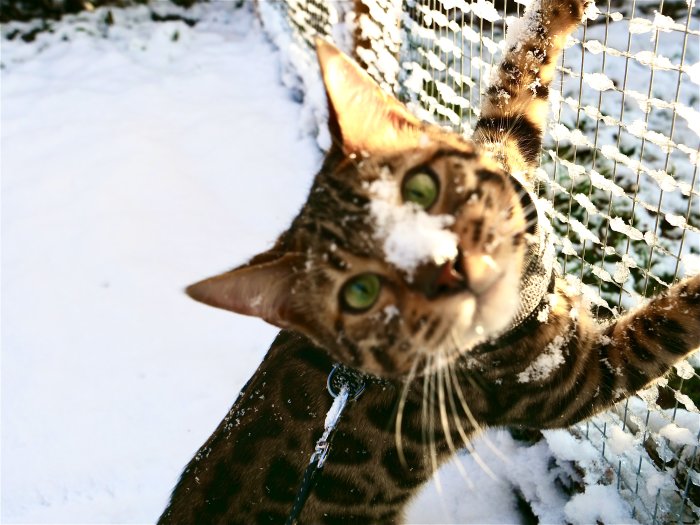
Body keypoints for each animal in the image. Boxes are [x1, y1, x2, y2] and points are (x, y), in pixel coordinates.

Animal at [159, 2, 700, 520]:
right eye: (361, 293)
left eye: (420, 188)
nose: (450, 269)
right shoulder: (569, 382)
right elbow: (663, 327)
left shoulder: (502, 143)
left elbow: (519, 71)